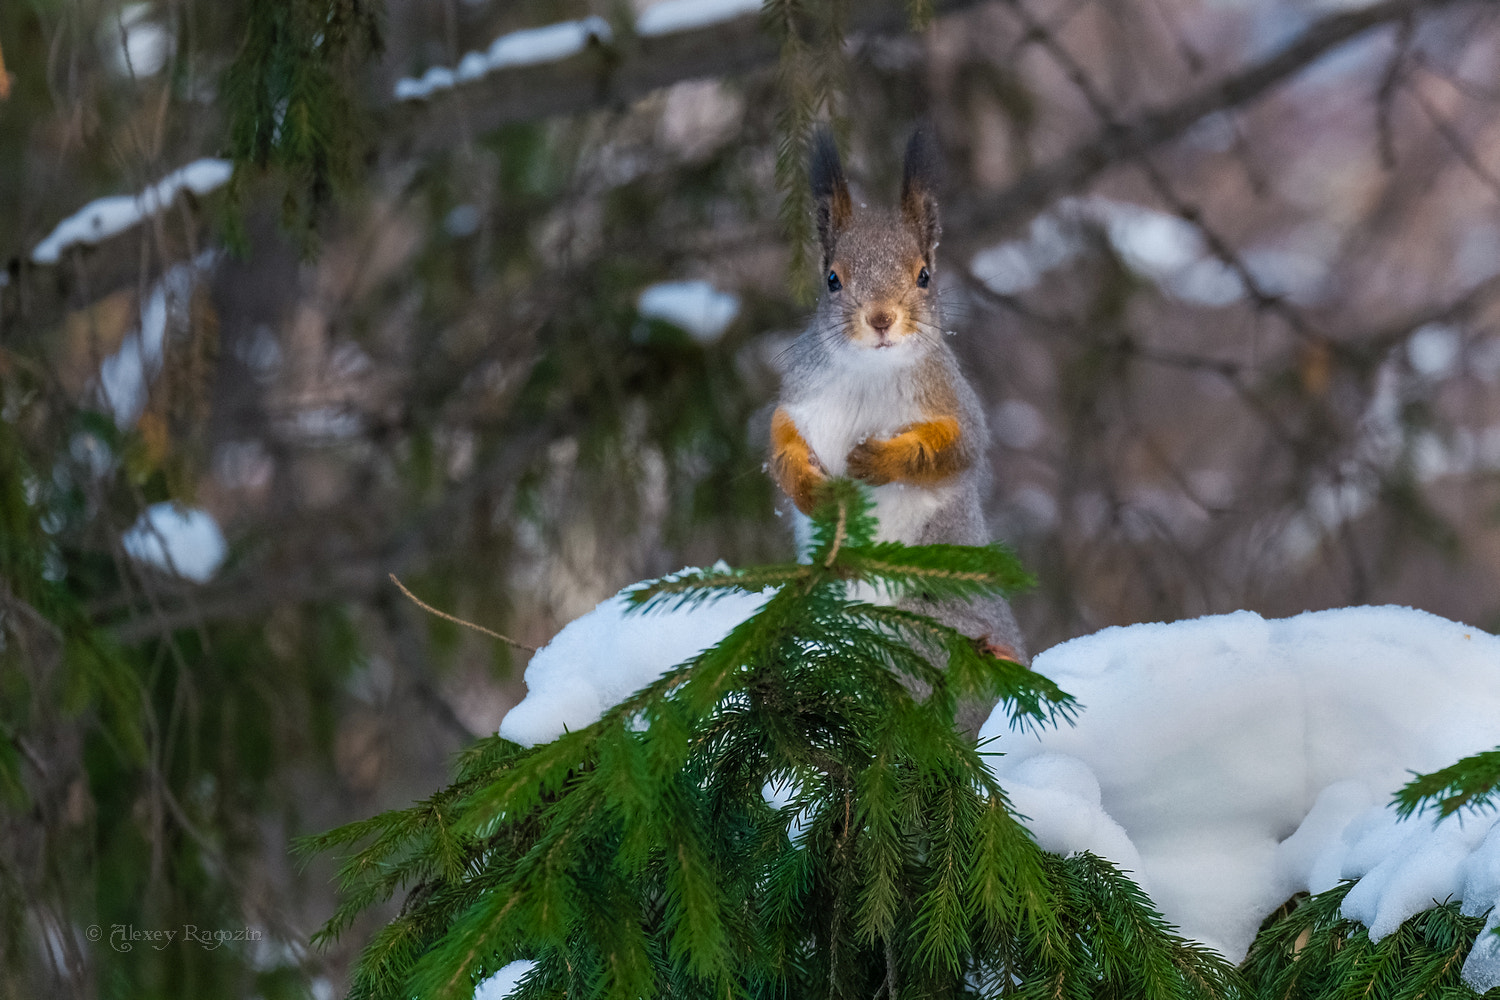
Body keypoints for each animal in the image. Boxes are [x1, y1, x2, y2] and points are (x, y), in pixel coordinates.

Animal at [768, 127, 1026, 734]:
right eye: (832, 279)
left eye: (924, 276)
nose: (881, 318)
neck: (870, 372)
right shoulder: (800, 398)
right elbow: (779, 441)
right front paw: (808, 486)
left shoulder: (956, 406)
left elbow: (953, 453)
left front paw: (877, 461)